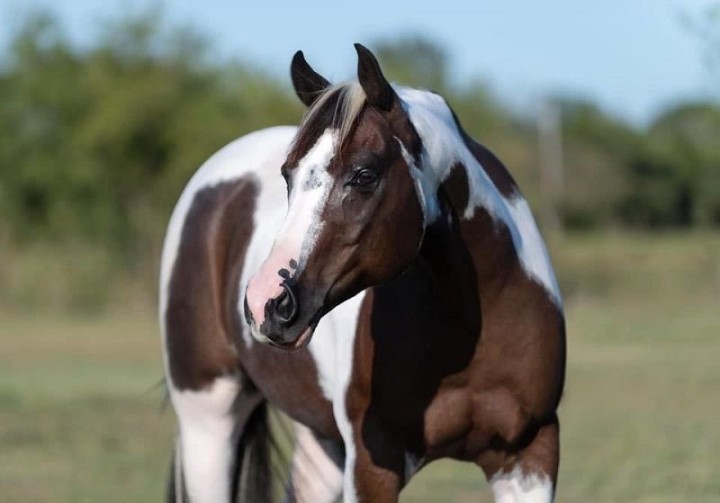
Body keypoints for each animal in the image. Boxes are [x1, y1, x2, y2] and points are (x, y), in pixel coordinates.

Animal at [160, 44, 566, 503]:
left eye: (364, 174)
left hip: (322, 440)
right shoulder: (373, 465)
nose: (266, 304)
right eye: (288, 176)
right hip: (208, 418)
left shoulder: (530, 455)